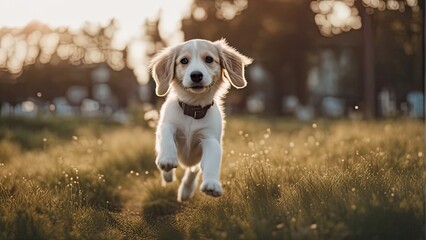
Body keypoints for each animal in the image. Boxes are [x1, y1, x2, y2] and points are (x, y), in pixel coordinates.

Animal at [150, 39, 251, 201]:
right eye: (184, 61)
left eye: (209, 59)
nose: (196, 75)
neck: (193, 110)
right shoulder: (166, 124)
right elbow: (166, 135)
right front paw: (167, 159)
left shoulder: (210, 139)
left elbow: (211, 161)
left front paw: (212, 184)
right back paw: (167, 175)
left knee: (193, 171)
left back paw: (185, 191)